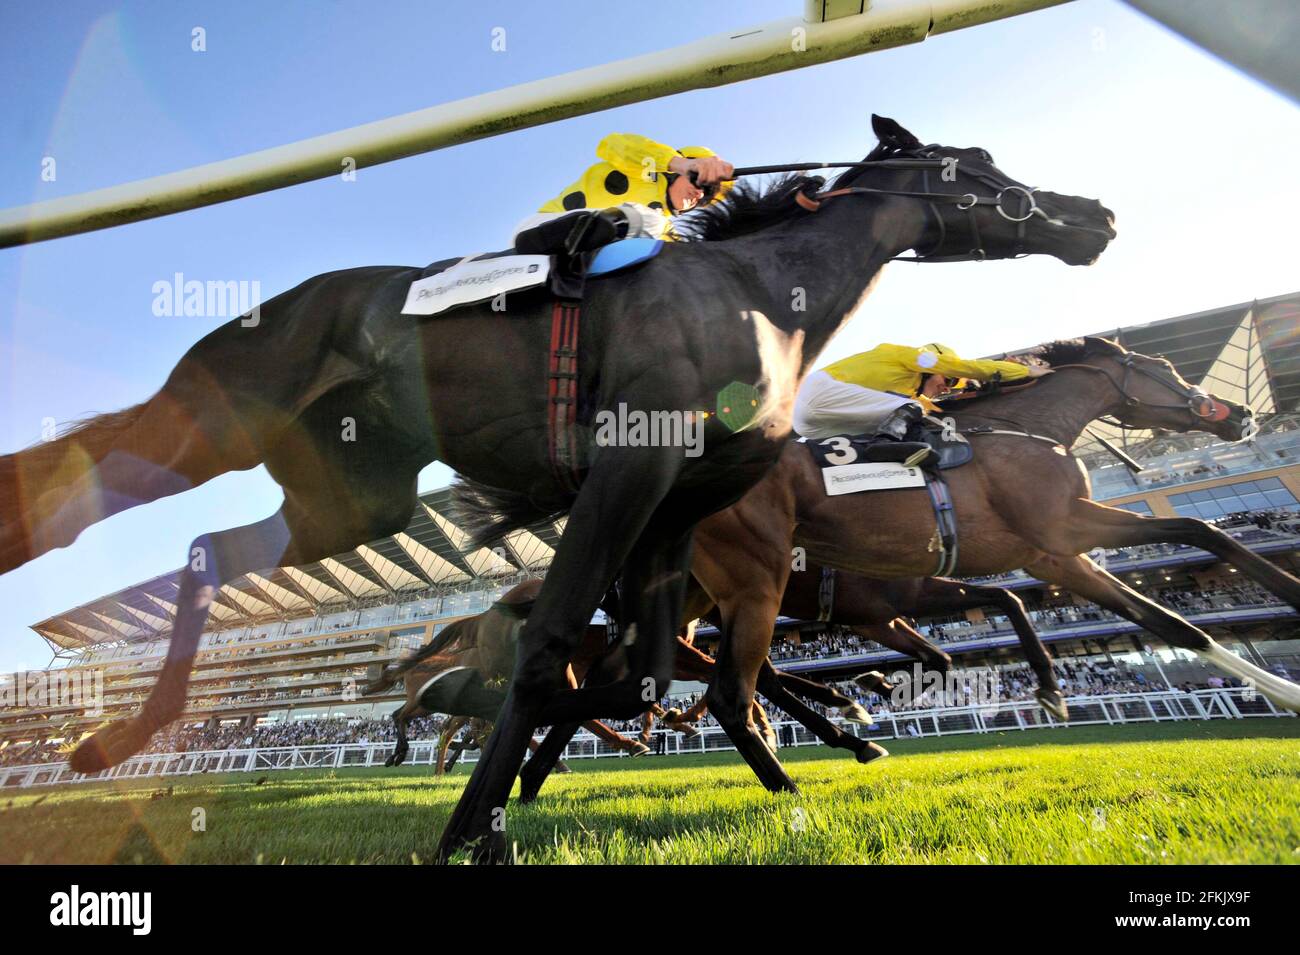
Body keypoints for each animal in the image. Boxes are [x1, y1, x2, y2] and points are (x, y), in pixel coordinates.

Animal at [0, 115, 1118, 862]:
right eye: (977, 167)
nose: (1095, 212)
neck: (759, 296)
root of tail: (276, 303)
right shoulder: (628, 471)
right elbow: (553, 655)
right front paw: (474, 826)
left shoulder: (678, 508)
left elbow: (643, 670)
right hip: (210, 419)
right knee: (65, 495)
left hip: (352, 497)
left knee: (206, 552)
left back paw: (114, 736)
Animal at [686, 340, 1294, 795]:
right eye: (1165, 369)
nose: (1243, 415)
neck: (1022, 429)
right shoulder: (1063, 527)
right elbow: (1199, 530)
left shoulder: (1050, 553)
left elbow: (1167, 622)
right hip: (756, 584)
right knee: (731, 692)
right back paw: (792, 789)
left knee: (746, 680)